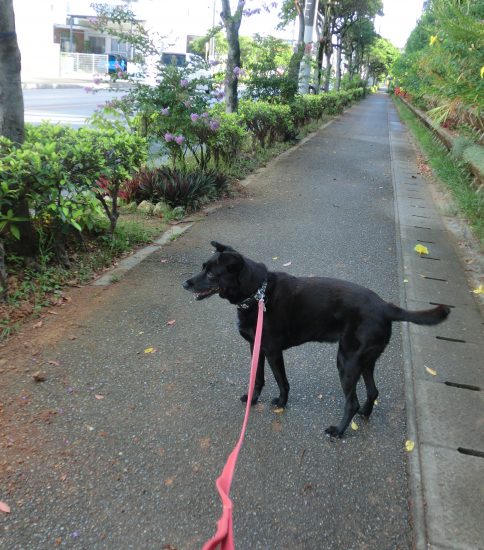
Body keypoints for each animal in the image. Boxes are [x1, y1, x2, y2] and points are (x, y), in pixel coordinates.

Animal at [182, 244, 450, 438]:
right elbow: (257, 378)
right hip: (365, 361)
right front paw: (253, 399)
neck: (258, 294)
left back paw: (339, 431)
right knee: (373, 391)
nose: (184, 283)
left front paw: (281, 403)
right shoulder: (255, 347)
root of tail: (386, 307)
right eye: (203, 267)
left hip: (347, 361)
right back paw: (365, 414)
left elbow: (281, 382)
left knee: (351, 402)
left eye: (210, 273)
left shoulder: (272, 350)